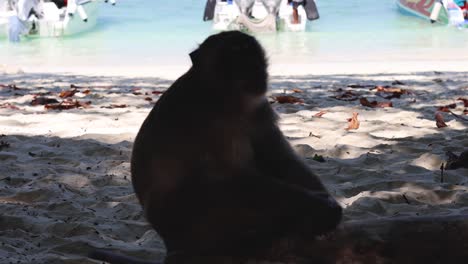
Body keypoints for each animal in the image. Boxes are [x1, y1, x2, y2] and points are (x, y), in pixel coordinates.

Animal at [89, 30, 342, 262]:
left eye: (253, 59)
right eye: (234, 59)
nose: (254, 72)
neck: (226, 96)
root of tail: (171, 245)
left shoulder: (258, 109)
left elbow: (275, 156)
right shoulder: (204, 118)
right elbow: (226, 176)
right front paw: (319, 208)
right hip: (190, 220)